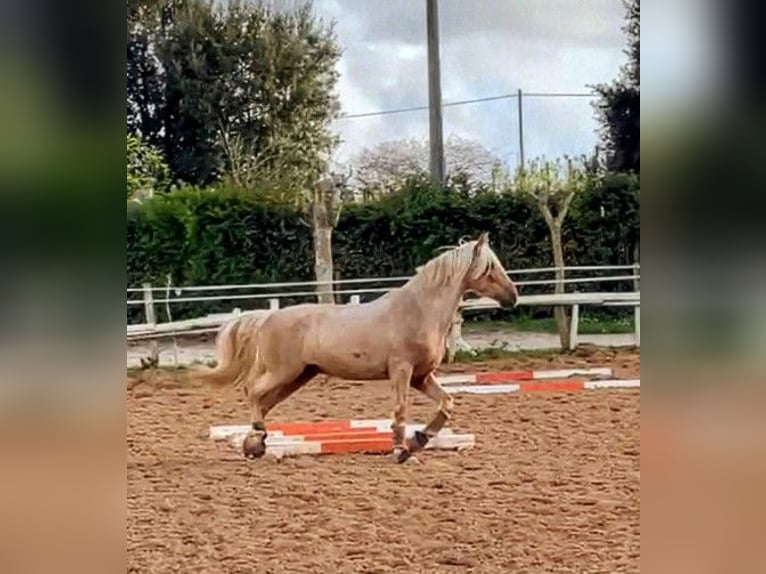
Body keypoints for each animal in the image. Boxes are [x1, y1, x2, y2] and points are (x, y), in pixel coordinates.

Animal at [198, 232, 519, 463]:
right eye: (489, 269)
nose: (512, 297)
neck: (419, 310)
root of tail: (267, 317)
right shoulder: (401, 371)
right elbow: (400, 410)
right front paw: (401, 451)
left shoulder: (421, 377)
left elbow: (447, 403)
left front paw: (419, 441)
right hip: (284, 372)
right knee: (252, 391)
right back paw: (257, 440)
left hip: (299, 376)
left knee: (264, 402)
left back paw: (255, 444)